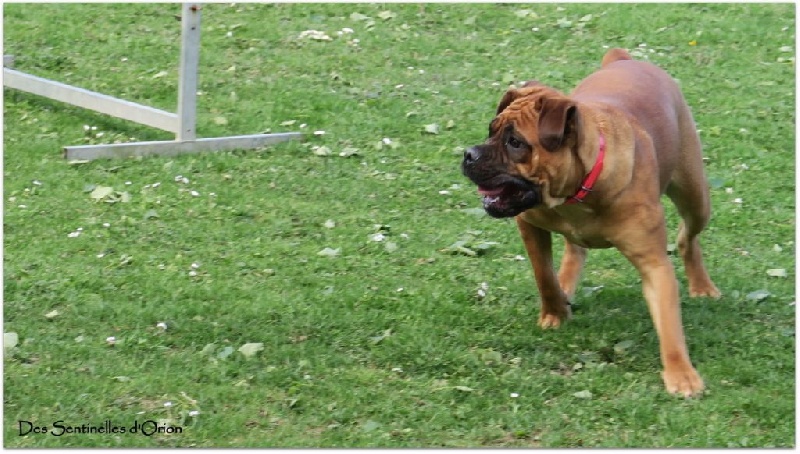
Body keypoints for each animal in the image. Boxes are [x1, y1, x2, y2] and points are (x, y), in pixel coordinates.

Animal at [462, 48, 720, 398]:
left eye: (515, 142)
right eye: (491, 130)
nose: (468, 154)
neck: (578, 189)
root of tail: (624, 60)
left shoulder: (653, 264)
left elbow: (669, 323)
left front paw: (681, 373)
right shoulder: (530, 225)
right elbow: (544, 276)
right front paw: (556, 312)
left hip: (695, 197)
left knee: (687, 238)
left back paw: (702, 286)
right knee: (575, 250)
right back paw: (567, 284)